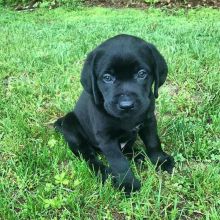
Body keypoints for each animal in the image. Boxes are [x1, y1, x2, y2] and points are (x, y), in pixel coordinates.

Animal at [54, 34, 174, 192]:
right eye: (107, 78)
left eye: (142, 74)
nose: (126, 105)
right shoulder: (106, 138)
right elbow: (119, 163)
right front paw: (128, 184)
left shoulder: (149, 121)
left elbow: (153, 141)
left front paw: (161, 161)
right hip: (70, 125)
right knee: (88, 157)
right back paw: (104, 173)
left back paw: (139, 156)